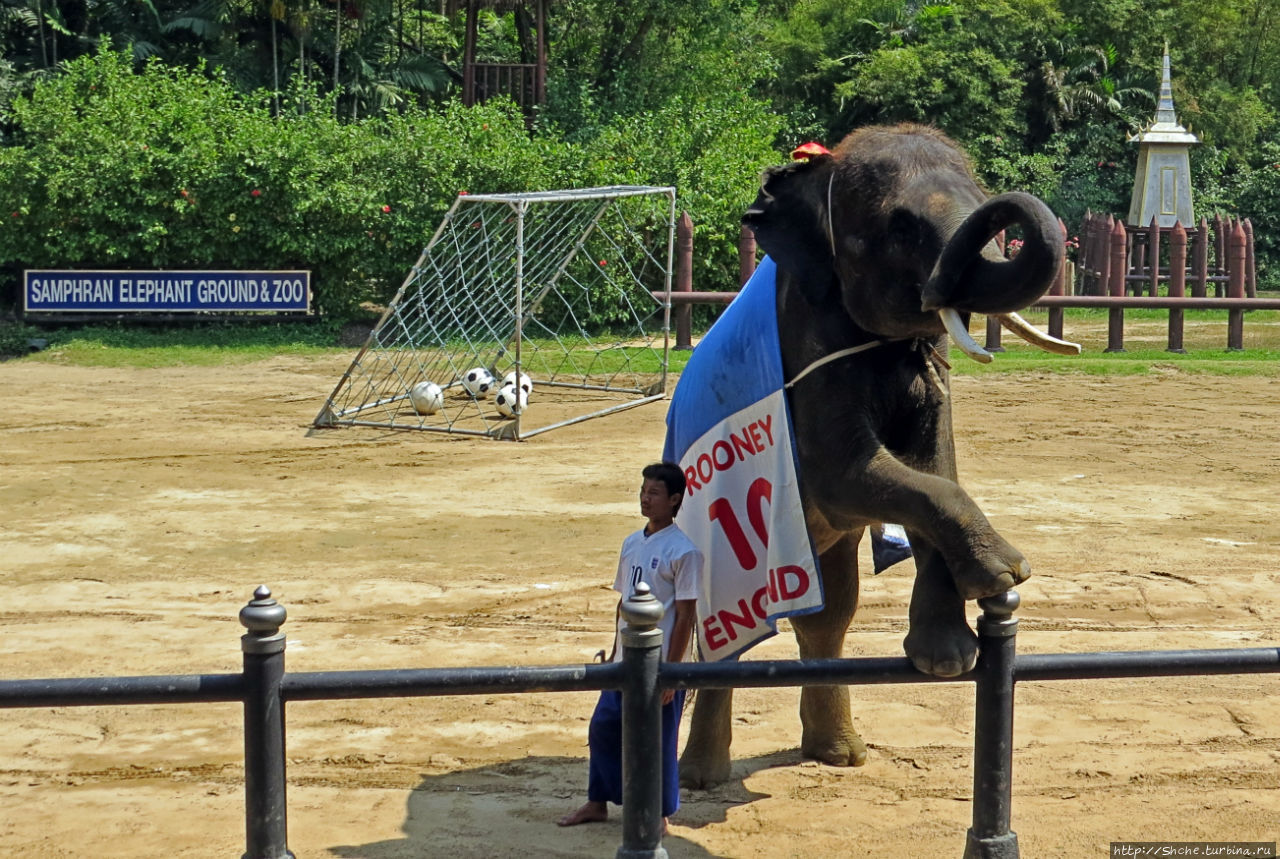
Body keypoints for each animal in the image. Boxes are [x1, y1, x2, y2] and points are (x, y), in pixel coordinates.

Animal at [675, 124, 1075, 788]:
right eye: (901, 228)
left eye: (978, 195)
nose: (1004, 210)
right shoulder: (808, 346)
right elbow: (853, 474)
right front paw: (1006, 574)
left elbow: (937, 468)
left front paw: (947, 658)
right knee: (725, 636)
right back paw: (700, 779)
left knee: (829, 613)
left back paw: (837, 755)